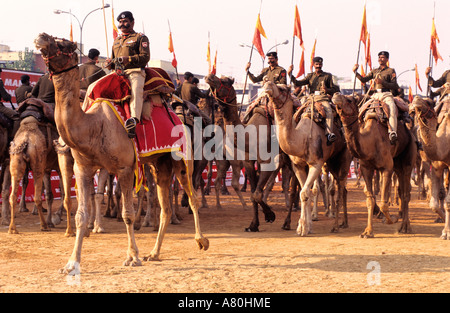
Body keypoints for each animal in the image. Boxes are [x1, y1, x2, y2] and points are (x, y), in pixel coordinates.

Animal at [34, 31, 208, 272]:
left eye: (64, 44)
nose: (40, 37)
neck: (94, 126)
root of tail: (179, 117)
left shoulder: (125, 168)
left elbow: (128, 214)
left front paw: (132, 257)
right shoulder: (83, 168)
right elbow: (81, 215)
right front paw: (71, 263)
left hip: (182, 158)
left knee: (192, 196)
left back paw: (202, 241)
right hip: (159, 165)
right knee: (165, 205)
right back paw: (154, 253)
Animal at [260, 80, 352, 234]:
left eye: (282, 88)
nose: (267, 83)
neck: (302, 138)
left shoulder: (316, 164)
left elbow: (304, 193)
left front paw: (302, 227)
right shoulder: (298, 166)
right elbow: (305, 192)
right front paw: (306, 226)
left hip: (344, 157)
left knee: (340, 187)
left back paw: (341, 222)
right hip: (331, 162)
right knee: (341, 188)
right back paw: (343, 222)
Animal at [332, 92, 416, 236]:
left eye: (349, 100)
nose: (336, 94)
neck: (370, 142)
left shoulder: (387, 167)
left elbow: (383, 203)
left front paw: (391, 219)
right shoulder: (366, 168)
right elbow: (370, 199)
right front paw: (368, 232)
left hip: (409, 155)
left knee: (406, 192)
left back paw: (406, 227)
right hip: (397, 163)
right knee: (402, 188)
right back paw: (402, 225)